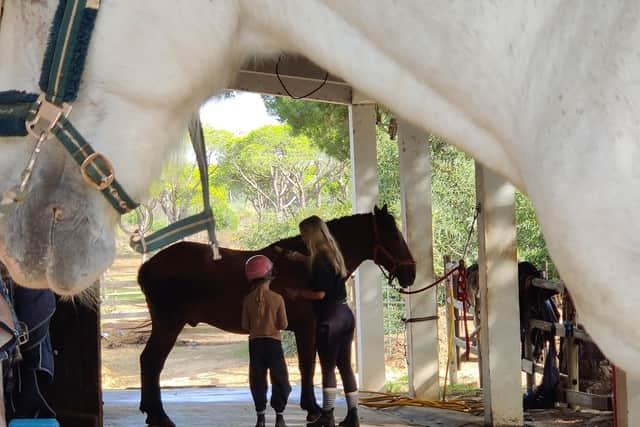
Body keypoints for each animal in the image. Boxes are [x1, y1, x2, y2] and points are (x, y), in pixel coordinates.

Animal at [137, 206, 416, 426]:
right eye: (393, 234)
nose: (411, 273)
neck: (308, 261)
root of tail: (148, 265)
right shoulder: (306, 326)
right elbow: (307, 364)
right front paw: (313, 409)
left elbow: (309, 365)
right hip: (168, 325)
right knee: (152, 362)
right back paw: (159, 415)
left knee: (148, 361)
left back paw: (150, 412)